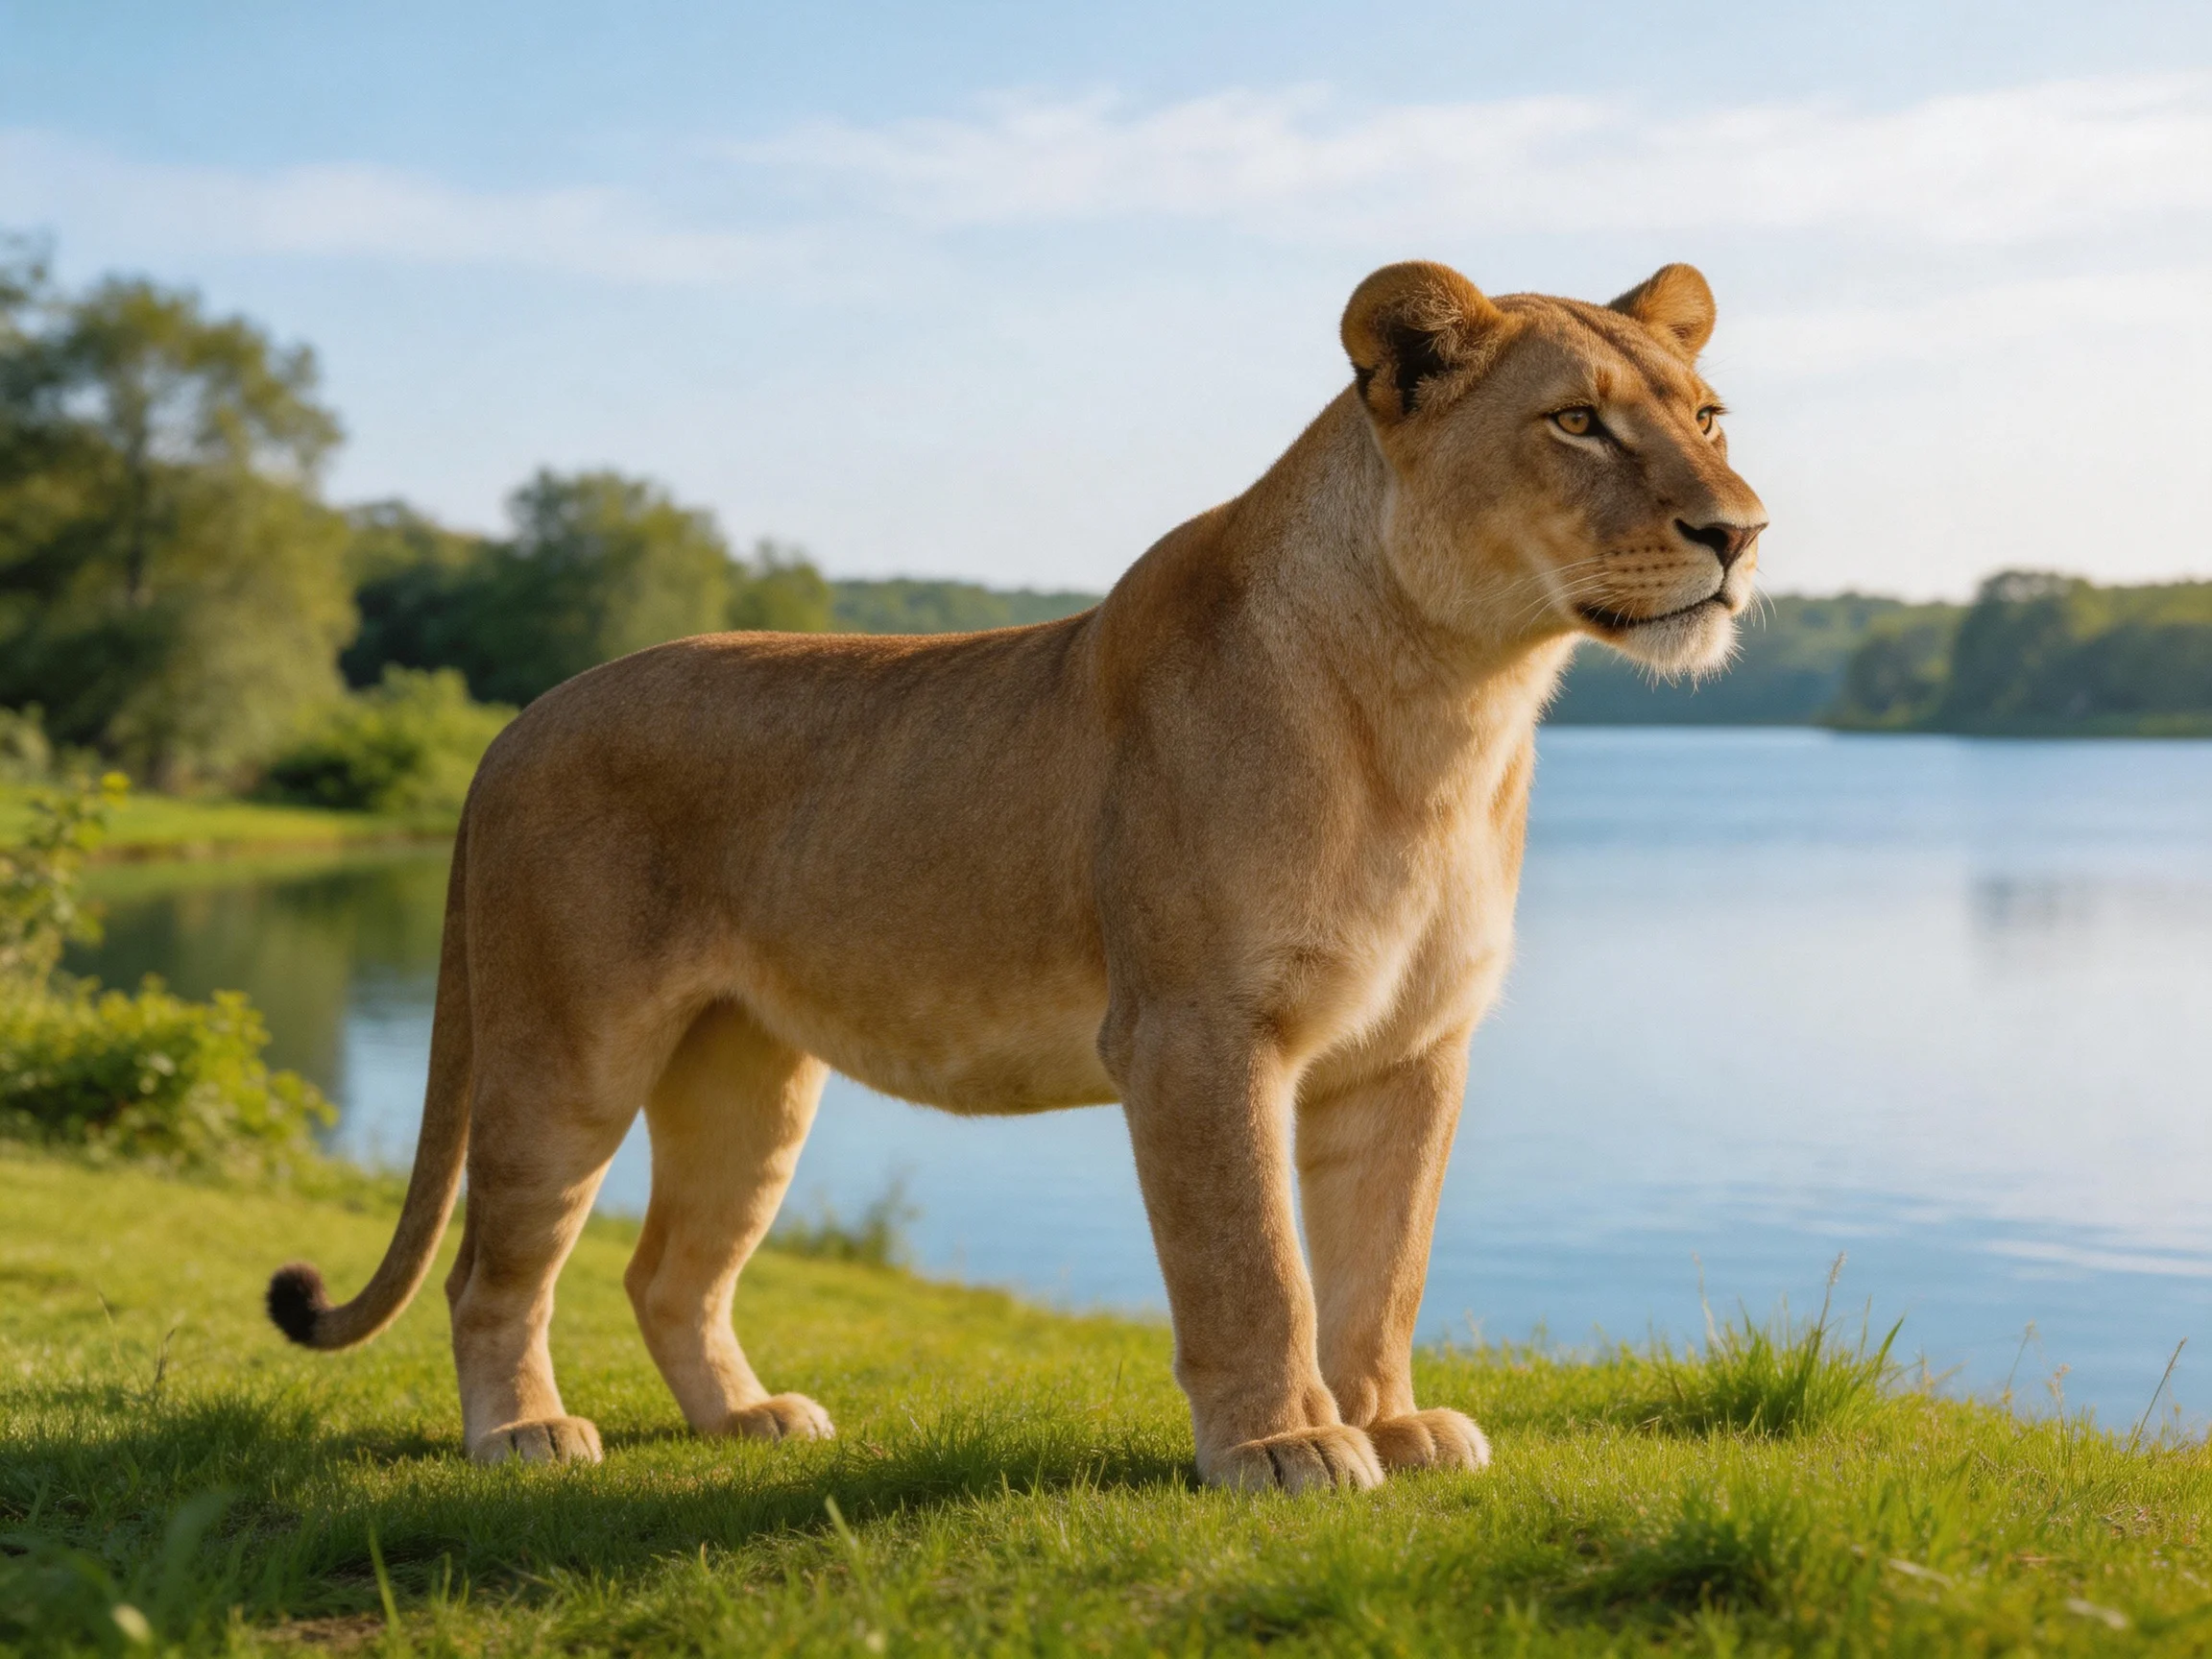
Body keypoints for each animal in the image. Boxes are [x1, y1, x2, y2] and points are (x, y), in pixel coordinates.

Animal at [266, 259, 1765, 1492]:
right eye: (1575, 424)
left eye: (1708, 417)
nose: (1741, 533)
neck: (1451, 704)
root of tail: (515, 724)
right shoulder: (1195, 1032)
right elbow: (1253, 1263)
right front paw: (1284, 1447)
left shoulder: (1413, 1045)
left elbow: (1381, 1266)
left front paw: (1390, 1423)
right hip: (566, 1050)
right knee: (493, 1267)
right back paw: (523, 1432)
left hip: (746, 1075)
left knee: (666, 1270)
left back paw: (746, 1420)